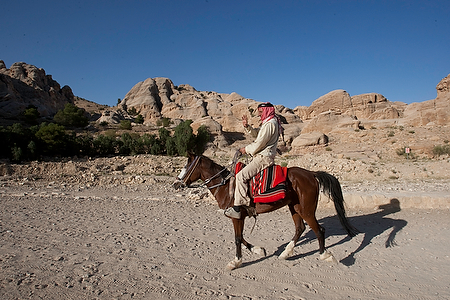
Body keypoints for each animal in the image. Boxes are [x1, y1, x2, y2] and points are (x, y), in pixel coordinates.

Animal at [174, 152, 356, 270]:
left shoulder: (236, 216)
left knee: (319, 230)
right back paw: (286, 253)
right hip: (294, 207)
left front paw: (236, 262)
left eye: (187, 165)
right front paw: (258, 250)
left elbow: (237, 239)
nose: (176, 184)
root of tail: (311, 174)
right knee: (300, 228)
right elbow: (242, 238)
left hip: (307, 210)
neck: (226, 186)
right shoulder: (240, 217)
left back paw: (326, 255)